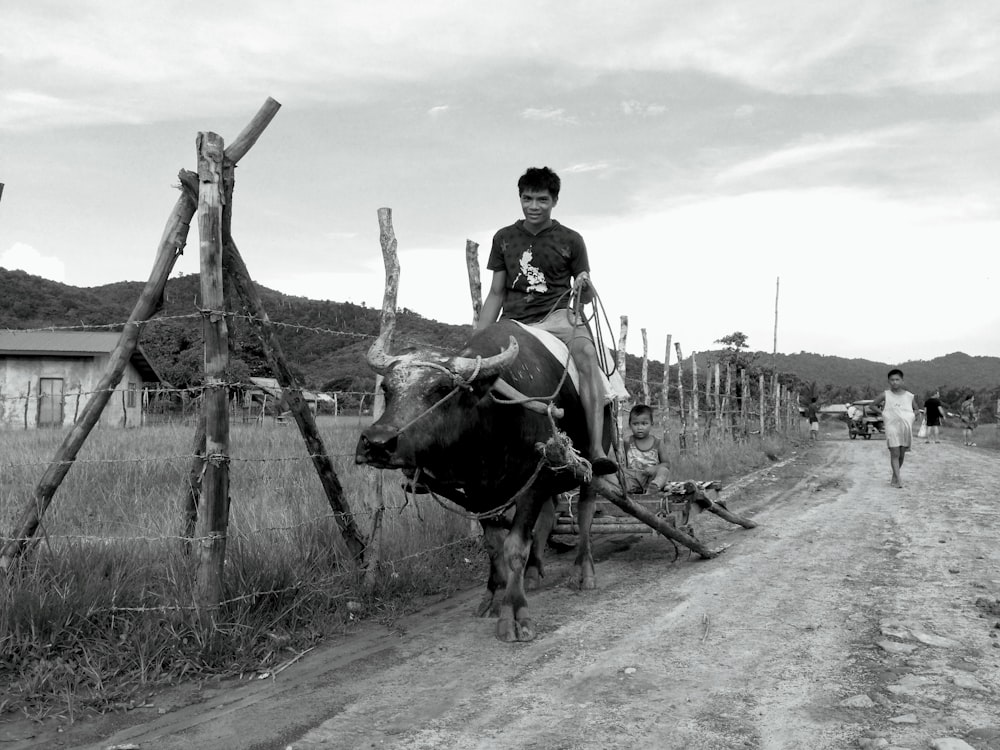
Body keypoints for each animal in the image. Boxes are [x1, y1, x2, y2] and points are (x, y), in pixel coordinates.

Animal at [360, 320, 608, 644]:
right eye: (387, 388)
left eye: (442, 389)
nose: (377, 443)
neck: (494, 424)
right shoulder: (478, 491)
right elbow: (493, 544)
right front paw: (495, 595)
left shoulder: (533, 481)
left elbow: (515, 546)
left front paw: (514, 613)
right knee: (549, 517)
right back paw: (533, 572)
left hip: (591, 465)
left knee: (585, 513)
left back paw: (584, 572)